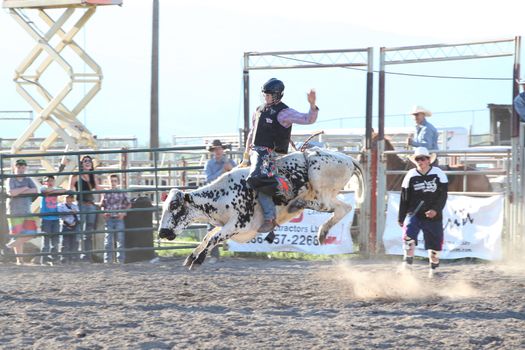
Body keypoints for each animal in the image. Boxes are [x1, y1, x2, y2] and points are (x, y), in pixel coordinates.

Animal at [159, 146, 364, 270]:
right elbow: (208, 236)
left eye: (174, 205)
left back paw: (297, 205)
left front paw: (198, 259)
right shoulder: (226, 225)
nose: (161, 232)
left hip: (320, 183)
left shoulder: (238, 225)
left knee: (328, 205)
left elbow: (213, 238)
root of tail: (347, 158)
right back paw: (322, 232)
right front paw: (191, 257)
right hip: (328, 193)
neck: (223, 195)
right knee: (343, 208)